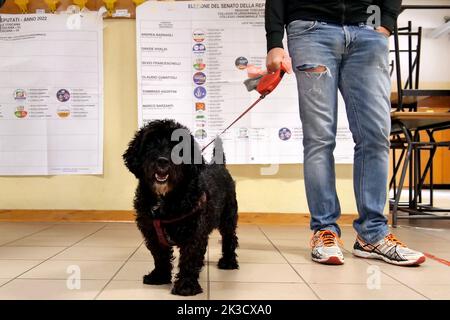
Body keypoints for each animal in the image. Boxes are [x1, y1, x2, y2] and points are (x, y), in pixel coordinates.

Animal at [121, 120, 237, 298]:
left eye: (178, 146)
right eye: (150, 143)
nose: (162, 161)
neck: (165, 198)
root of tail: (219, 164)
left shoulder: (193, 232)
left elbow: (189, 257)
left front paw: (186, 286)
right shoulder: (152, 232)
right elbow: (160, 255)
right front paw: (159, 276)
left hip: (228, 217)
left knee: (229, 238)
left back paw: (228, 262)